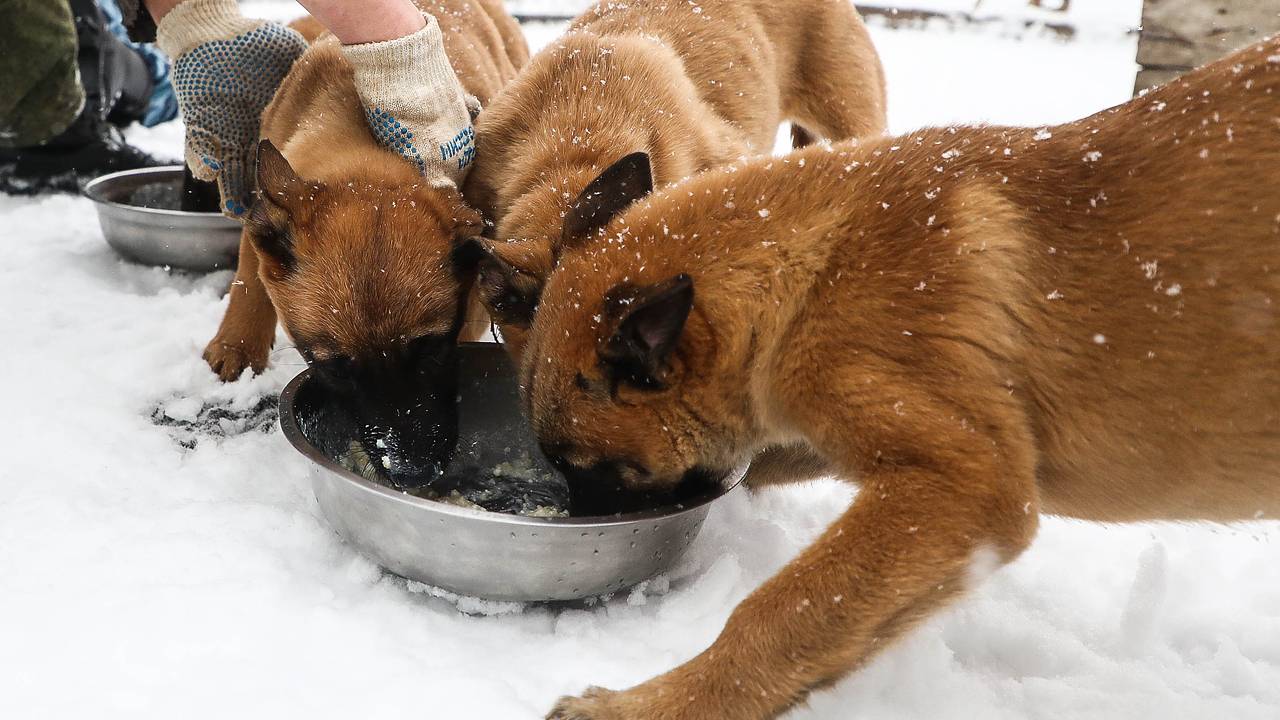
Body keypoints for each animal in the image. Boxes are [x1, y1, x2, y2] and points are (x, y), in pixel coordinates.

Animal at [481, 37, 1280, 717]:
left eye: (585, 466)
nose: (575, 522)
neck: (811, 269)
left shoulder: (961, 485)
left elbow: (781, 612)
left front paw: (651, 705)